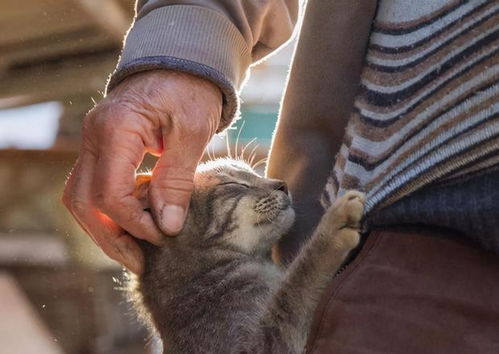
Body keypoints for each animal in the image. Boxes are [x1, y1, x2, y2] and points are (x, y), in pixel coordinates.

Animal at [131, 159, 366, 352]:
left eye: (255, 173)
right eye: (235, 185)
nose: (283, 184)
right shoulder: (254, 346)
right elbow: (297, 286)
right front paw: (332, 225)